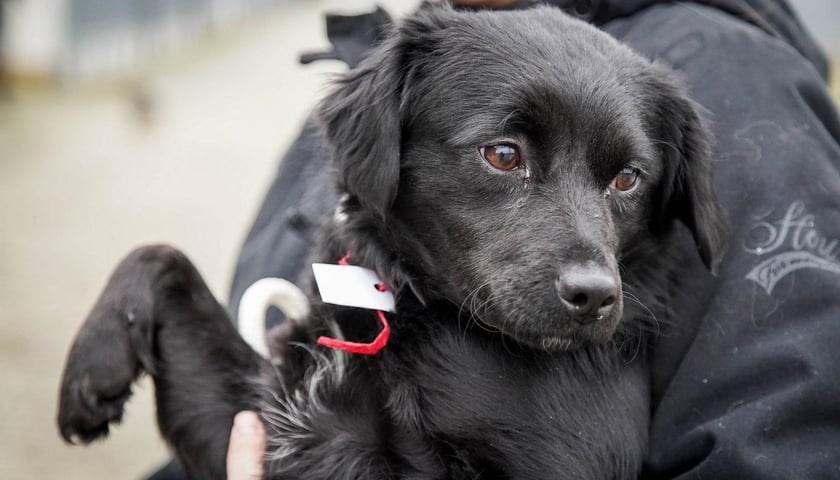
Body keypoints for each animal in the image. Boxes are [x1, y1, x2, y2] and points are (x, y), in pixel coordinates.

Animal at [57, 4, 720, 480]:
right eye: (504, 154)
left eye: (627, 178)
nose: (594, 297)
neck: (423, 317)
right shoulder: (253, 422)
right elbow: (160, 256)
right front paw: (91, 370)